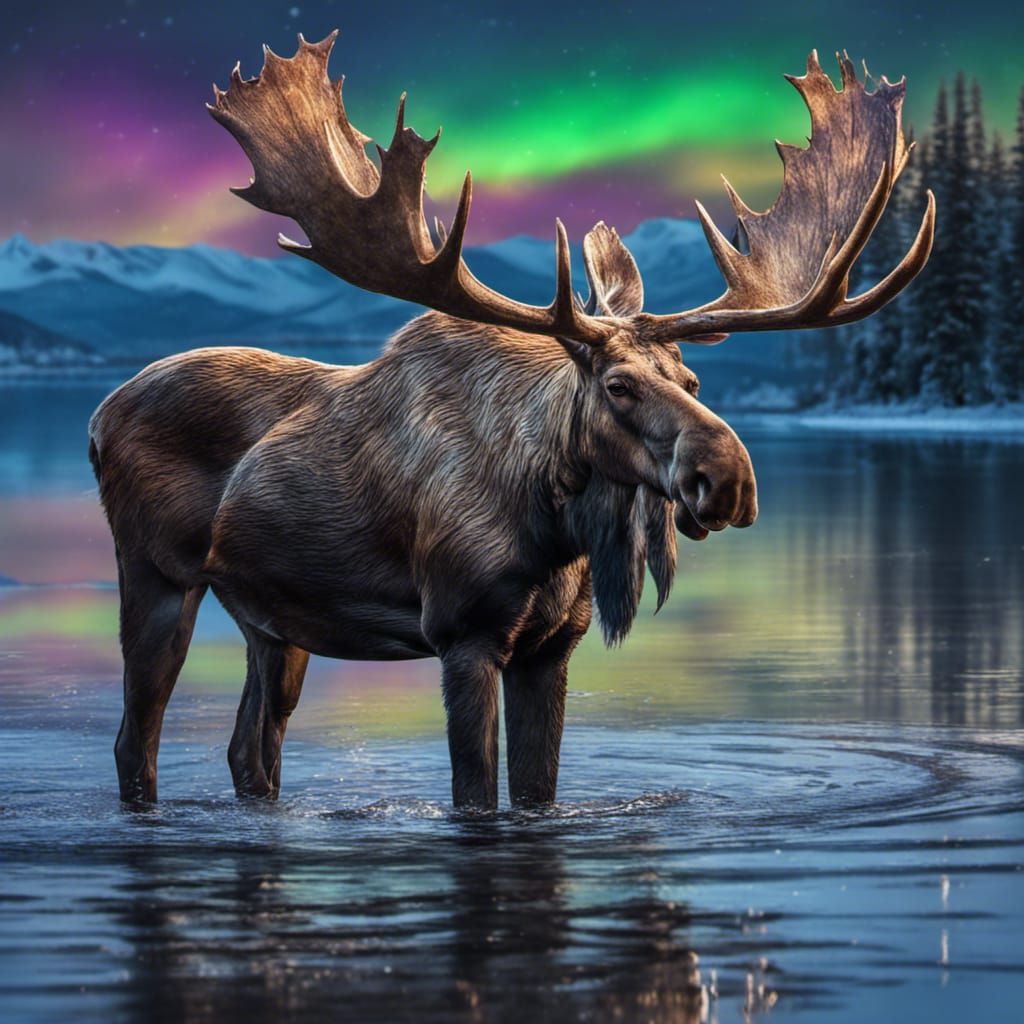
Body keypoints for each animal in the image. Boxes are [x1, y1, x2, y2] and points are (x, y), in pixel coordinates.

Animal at [88, 31, 934, 809]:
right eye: (619, 385)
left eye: (692, 378)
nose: (726, 480)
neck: (554, 530)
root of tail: (96, 418)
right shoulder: (464, 635)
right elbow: (477, 794)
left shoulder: (551, 648)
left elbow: (536, 790)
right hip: (158, 575)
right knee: (135, 740)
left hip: (273, 618)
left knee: (250, 751)